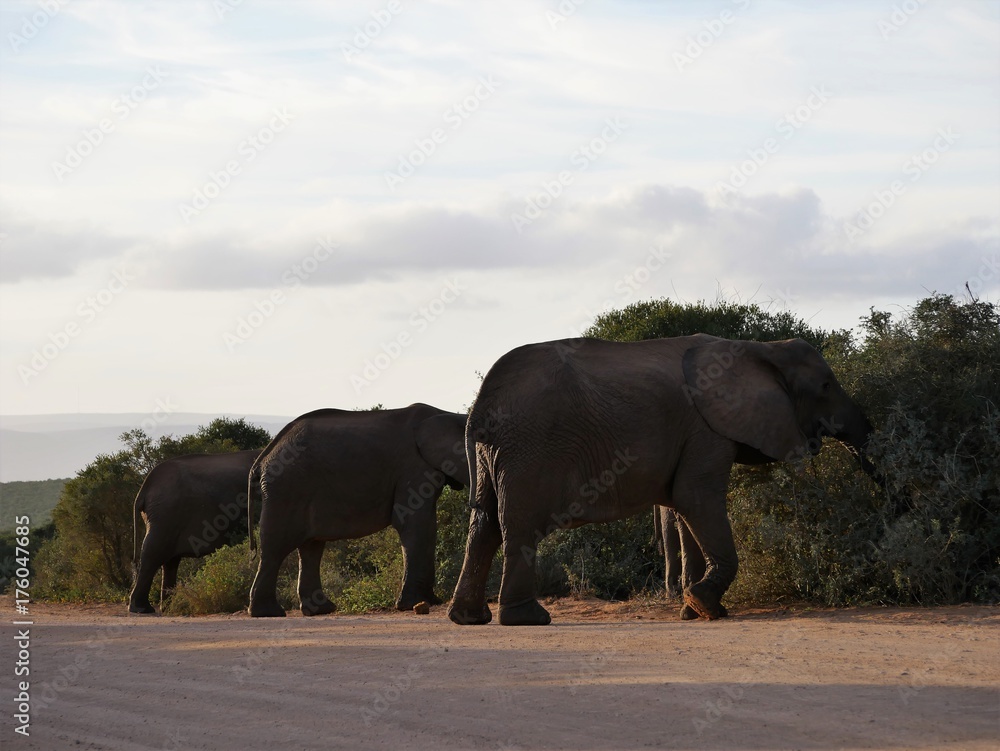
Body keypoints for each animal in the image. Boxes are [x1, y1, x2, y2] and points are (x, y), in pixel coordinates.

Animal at [129, 450, 260, 614]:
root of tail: (143, 489)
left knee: (169, 561)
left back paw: (169, 608)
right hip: (165, 514)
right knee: (154, 553)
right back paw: (143, 609)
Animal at [247, 403, 470, 617]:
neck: (450, 414)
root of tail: (262, 458)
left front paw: (429, 601)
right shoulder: (414, 467)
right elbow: (414, 522)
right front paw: (415, 604)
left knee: (311, 548)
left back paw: (321, 610)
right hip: (287, 487)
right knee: (276, 547)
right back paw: (268, 613)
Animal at [448, 334, 874, 626]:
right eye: (826, 386)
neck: (760, 349)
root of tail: (479, 405)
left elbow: (685, 507)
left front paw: (694, 610)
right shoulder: (707, 428)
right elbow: (695, 497)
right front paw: (704, 606)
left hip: (495, 454)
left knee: (484, 524)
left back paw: (469, 618)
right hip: (529, 449)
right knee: (518, 525)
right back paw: (529, 619)